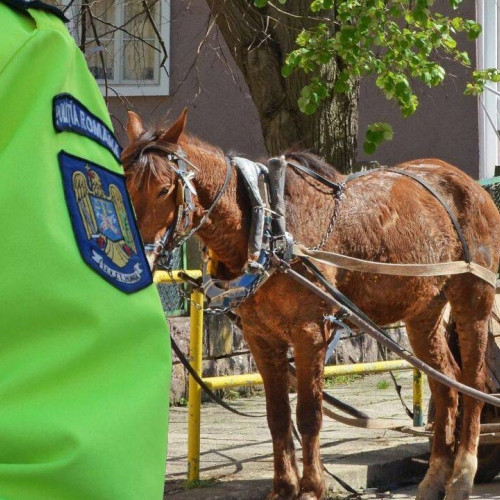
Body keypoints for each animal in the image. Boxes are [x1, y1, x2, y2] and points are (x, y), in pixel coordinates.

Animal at [121, 110, 500, 500]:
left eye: (164, 189)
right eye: (124, 182)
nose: (138, 261)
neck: (264, 226)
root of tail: (468, 183)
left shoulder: (311, 332)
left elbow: (308, 414)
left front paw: (311, 487)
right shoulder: (261, 337)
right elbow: (277, 415)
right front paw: (283, 487)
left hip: (474, 298)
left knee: (473, 381)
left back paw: (462, 473)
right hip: (424, 309)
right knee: (447, 383)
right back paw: (435, 475)